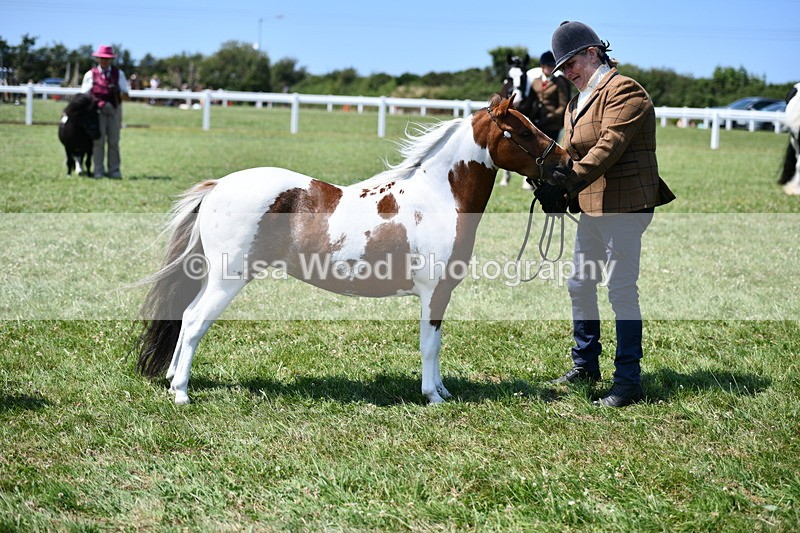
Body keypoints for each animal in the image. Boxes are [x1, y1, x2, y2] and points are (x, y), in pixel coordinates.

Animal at [136, 94, 573, 405]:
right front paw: (432, 396)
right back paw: (181, 393)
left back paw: (173, 379)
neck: (438, 198)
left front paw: (443, 390)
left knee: (185, 317)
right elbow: (429, 344)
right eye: (524, 131)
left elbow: (437, 343)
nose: (566, 163)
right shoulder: (433, 292)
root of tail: (218, 187)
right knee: (195, 322)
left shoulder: (441, 294)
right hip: (228, 279)